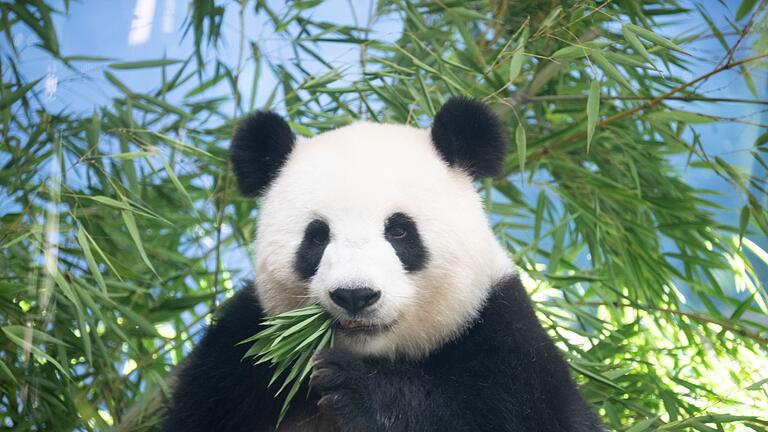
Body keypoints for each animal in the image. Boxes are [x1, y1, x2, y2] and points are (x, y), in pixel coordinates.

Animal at [164, 98, 608, 432]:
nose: (355, 295)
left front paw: (356, 389)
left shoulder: (505, 339)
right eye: (317, 237)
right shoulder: (238, 362)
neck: (380, 355)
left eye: (399, 231)